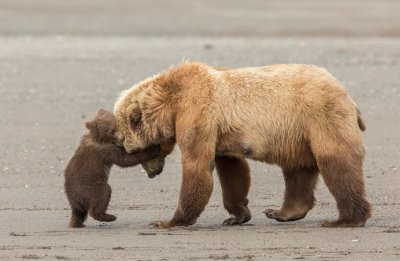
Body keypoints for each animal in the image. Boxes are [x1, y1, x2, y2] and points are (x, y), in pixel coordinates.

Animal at [113, 61, 372, 228]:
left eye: (137, 151)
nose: (152, 173)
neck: (172, 103)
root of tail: (347, 94)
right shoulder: (221, 133)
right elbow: (232, 171)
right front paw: (237, 216)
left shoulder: (198, 112)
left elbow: (197, 165)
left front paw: (168, 221)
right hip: (297, 135)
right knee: (298, 169)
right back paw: (281, 212)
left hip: (320, 115)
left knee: (336, 161)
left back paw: (345, 219)